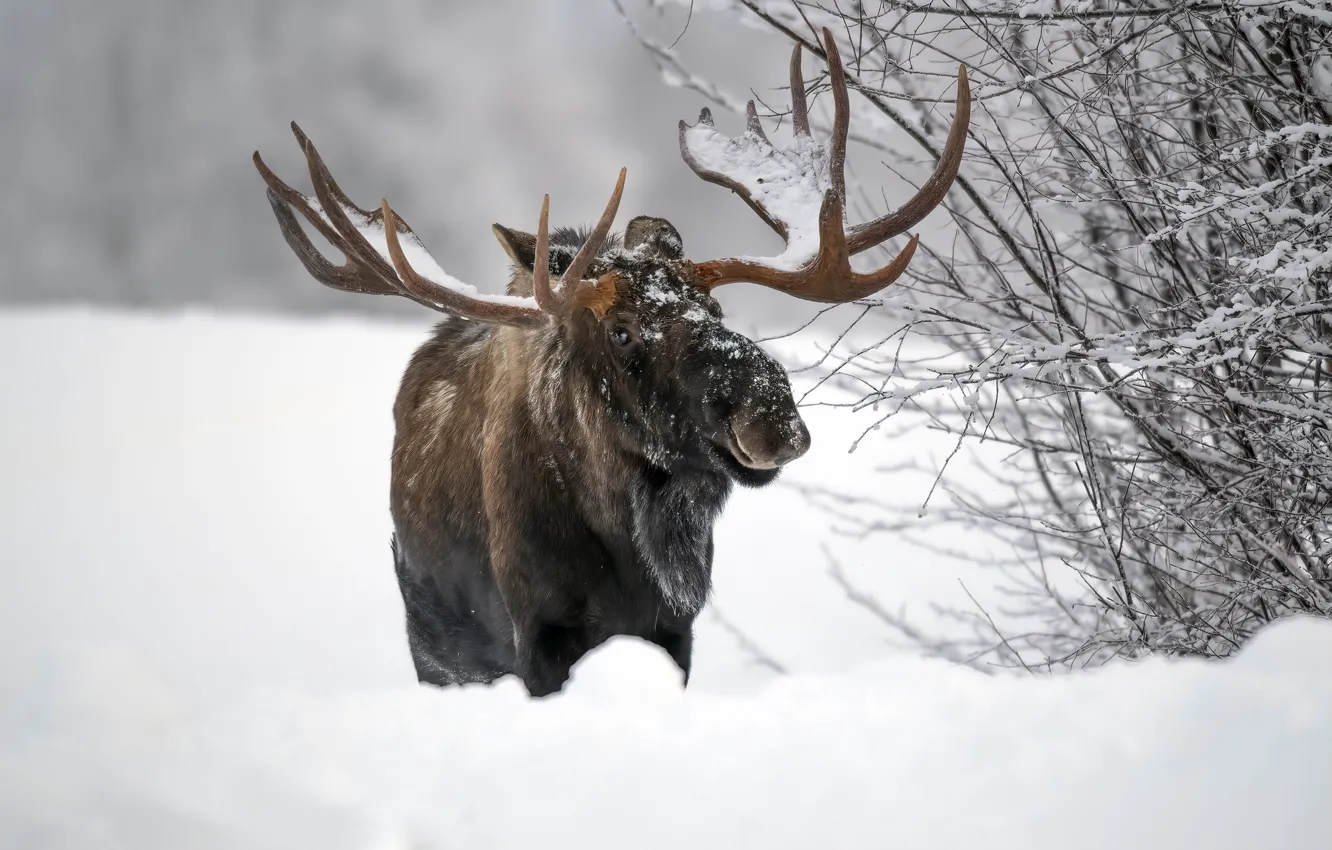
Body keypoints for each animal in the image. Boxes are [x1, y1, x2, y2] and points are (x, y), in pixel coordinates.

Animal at [251, 31, 969, 698]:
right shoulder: (540, 633)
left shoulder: (673, 628)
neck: (626, 543)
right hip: (436, 646)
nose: (770, 412)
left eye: (715, 306)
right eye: (620, 332)